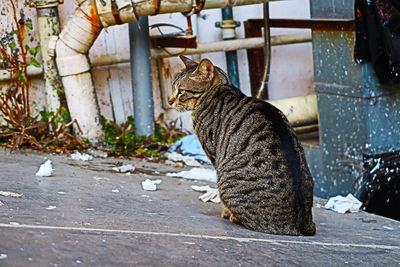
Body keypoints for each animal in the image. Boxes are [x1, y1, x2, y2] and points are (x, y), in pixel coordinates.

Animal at [168, 56, 316, 237]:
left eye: (181, 91)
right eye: (172, 88)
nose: (169, 101)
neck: (219, 89)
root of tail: (301, 226)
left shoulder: (214, 154)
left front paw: (226, 212)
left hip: (224, 177)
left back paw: (234, 216)